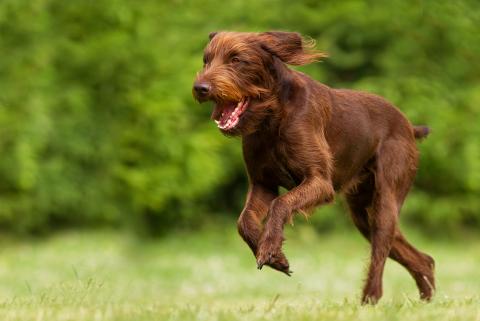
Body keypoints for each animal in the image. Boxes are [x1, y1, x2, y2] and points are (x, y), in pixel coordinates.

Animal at [191, 31, 436, 304]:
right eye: (205, 60)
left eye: (236, 60)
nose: (200, 88)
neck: (272, 117)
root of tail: (409, 126)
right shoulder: (262, 184)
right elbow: (243, 221)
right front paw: (275, 257)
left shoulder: (319, 182)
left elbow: (281, 204)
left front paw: (270, 248)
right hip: (363, 212)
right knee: (421, 258)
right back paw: (425, 299)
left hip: (385, 202)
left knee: (381, 254)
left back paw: (369, 301)